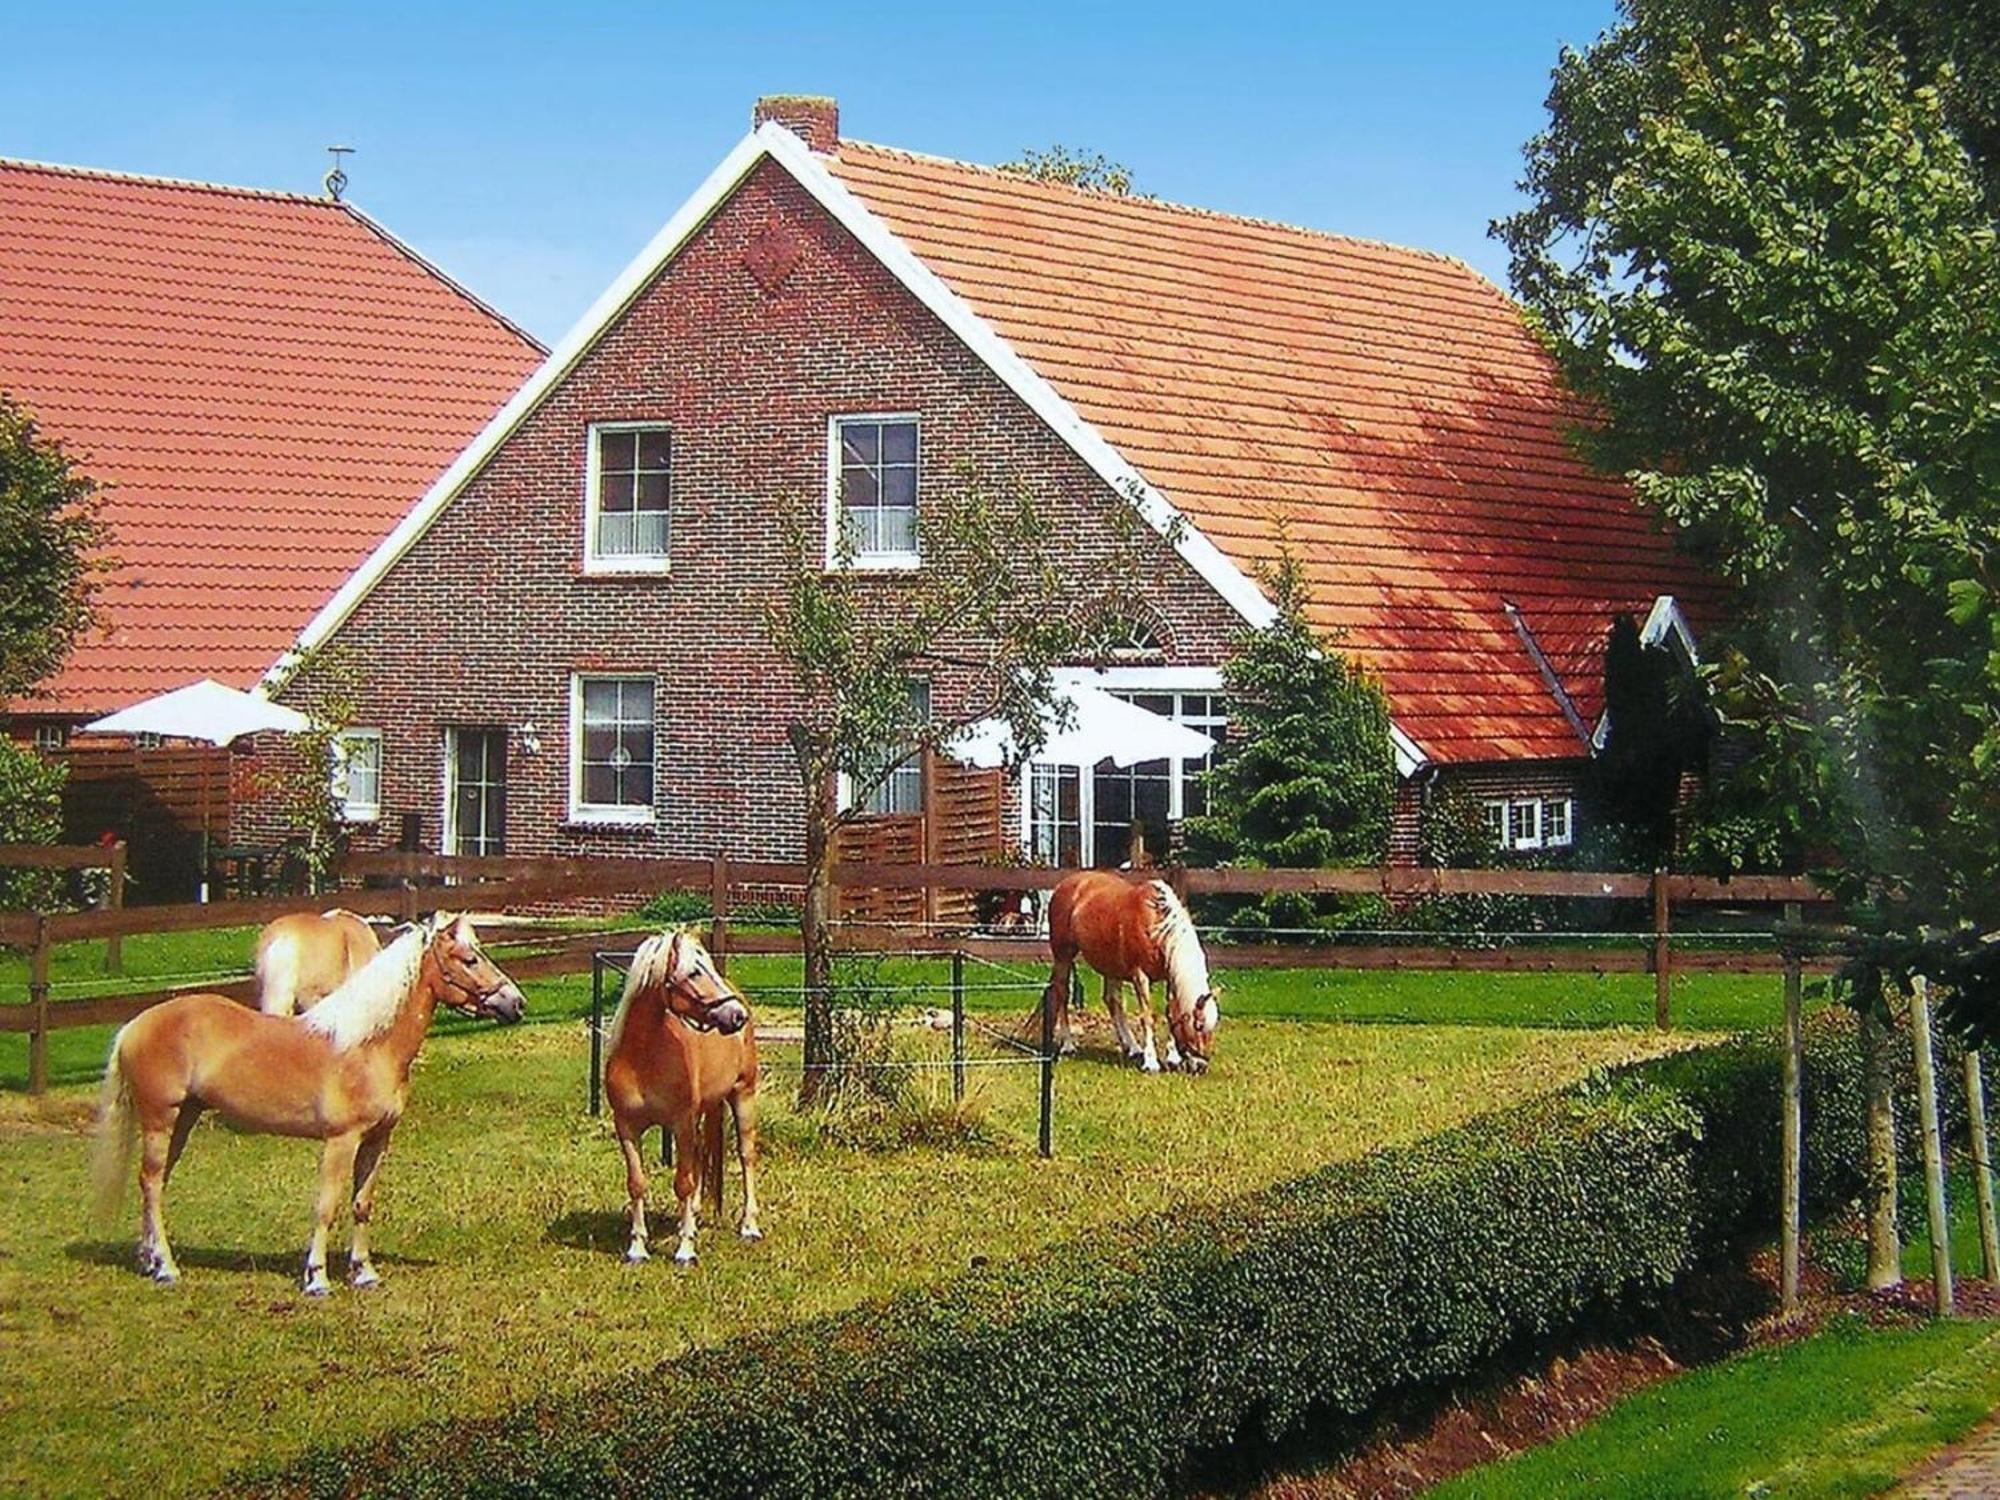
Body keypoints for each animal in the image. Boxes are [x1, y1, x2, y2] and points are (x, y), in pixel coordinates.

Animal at [596, 936, 760, 1272]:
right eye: (694, 972)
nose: (737, 1015)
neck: (643, 1057)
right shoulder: (627, 1127)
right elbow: (637, 1183)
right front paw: (637, 1248)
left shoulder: (681, 1123)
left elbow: (683, 1182)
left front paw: (686, 1250)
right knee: (698, 1158)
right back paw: (693, 1217)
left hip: (743, 1095)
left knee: (746, 1156)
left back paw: (749, 1227)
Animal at [1048, 876, 1216, 1072]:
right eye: (1199, 1025)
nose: (1201, 1066)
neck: (1156, 924)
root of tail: (1063, 885)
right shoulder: (1140, 976)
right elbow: (1147, 1017)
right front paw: (1151, 1062)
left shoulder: (1170, 978)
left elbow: (1171, 1012)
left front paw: (1172, 1057)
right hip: (1063, 955)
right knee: (1063, 993)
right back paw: (1068, 1044)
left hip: (1111, 965)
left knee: (1112, 1000)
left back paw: (1133, 1047)